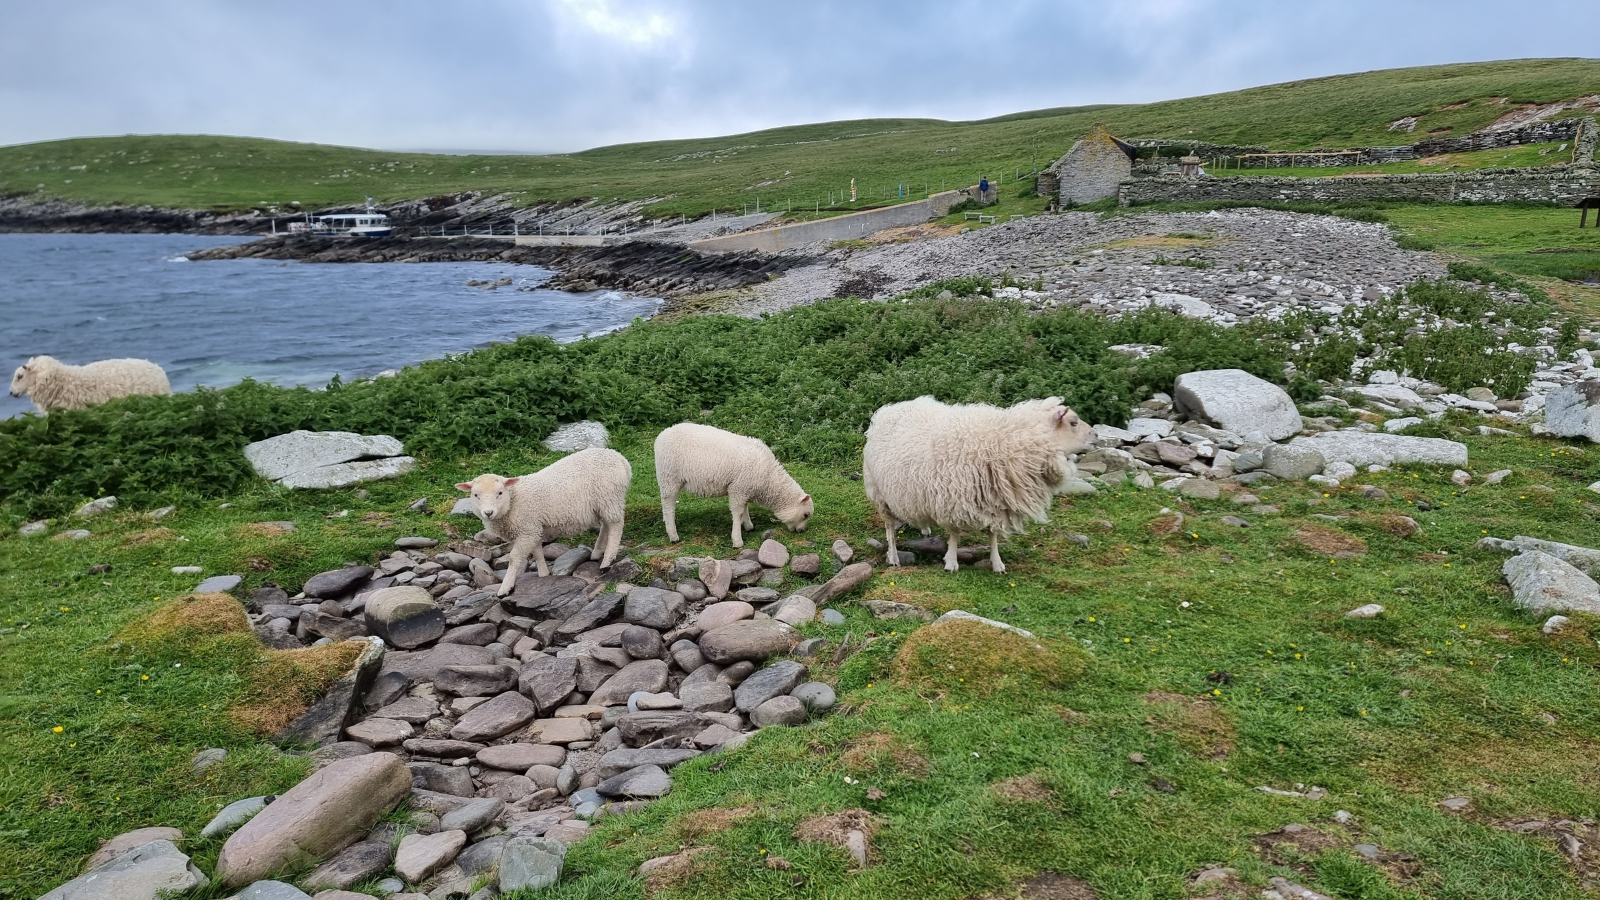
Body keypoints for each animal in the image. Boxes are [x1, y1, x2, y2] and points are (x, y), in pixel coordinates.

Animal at [457, 445, 630, 592]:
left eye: (499, 493)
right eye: (475, 495)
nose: (488, 512)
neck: (514, 500)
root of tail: (620, 458)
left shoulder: (527, 529)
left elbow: (513, 558)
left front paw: (505, 587)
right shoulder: (533, 528)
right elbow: (537, 552)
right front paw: (543, 574)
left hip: (610, 496)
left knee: (616, 525)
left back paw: (607, 560)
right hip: (604, 503)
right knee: (606, 524)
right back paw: (597, 552)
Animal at [656, 422, 819, 547]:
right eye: (805, 515)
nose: (801, 531)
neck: (769, 479)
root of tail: (663, 433)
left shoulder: (744, 489)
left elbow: (745, 508)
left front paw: (748, 526)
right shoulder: (738, 489)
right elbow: (738, 512)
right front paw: (737, 540)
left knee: (665, 503)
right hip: (669, 477)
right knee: (669, 505)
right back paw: (673, 535)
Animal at [864, 393, 1100, 573]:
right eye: (1073, 423)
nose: (1097, 435)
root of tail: (890, 409)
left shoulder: (996, 500)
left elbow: (993, 535)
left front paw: (997, 564)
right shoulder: (953, 497)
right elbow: (955, 533)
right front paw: (951, 562)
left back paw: (925, 529)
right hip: (879, 492)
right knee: (889, 528)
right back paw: (894, 557)